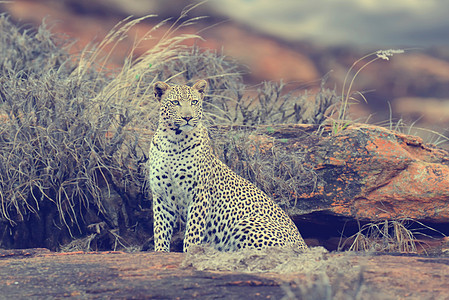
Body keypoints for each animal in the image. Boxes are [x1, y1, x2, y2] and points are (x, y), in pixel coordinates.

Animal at [149, 80, 306, 253]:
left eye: (194, 102)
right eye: (175, 102)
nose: (188, 117)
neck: (173, 141)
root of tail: (304, 245)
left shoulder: (199, 193)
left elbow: (193, 231)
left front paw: (191, 252)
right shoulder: (161, 196)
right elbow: (160, 230)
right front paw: (160, 252)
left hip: (245, 224)